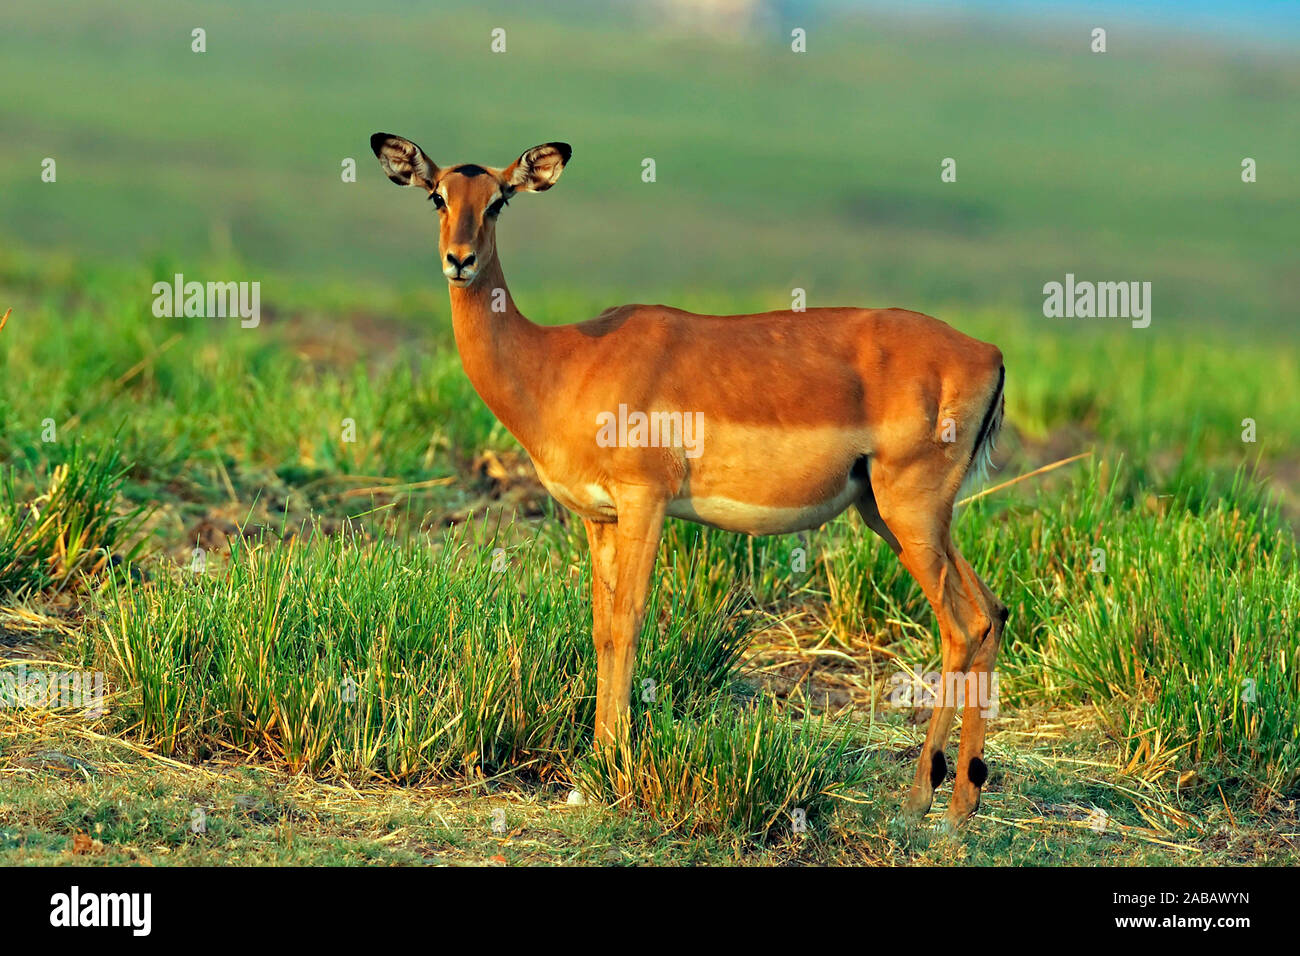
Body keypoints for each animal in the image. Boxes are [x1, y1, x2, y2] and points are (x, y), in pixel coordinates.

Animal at [370, 133, 1009, 827]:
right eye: (438, 196)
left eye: (499, 200)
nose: (459, 260)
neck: (562, 362)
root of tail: (989, 354)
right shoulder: (599, 517)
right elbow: (601, 627)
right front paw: (597, 761)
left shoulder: (644, 500)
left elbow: (629, 620)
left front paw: (614, 764)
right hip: (894, 514)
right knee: (991, 611)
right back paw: (965, 800)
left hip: (909, 511)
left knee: (959, 625)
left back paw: (921, 801)